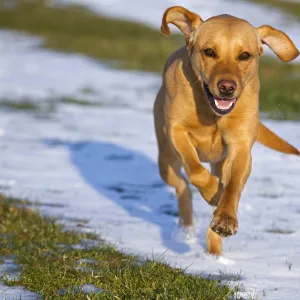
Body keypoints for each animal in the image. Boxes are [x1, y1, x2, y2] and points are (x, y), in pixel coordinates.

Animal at [154, 5, 298, 255]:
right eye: (209, 51)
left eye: (244, 55)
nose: (227, 87)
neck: (212, 114)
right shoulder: (176, 131)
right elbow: (196, 171)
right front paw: (214, 192)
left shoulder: (240, 148)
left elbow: (233, 187)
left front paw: (225, 219)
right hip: (166, 160)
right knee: (182, 186)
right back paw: (187, 225)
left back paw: (214, 250)